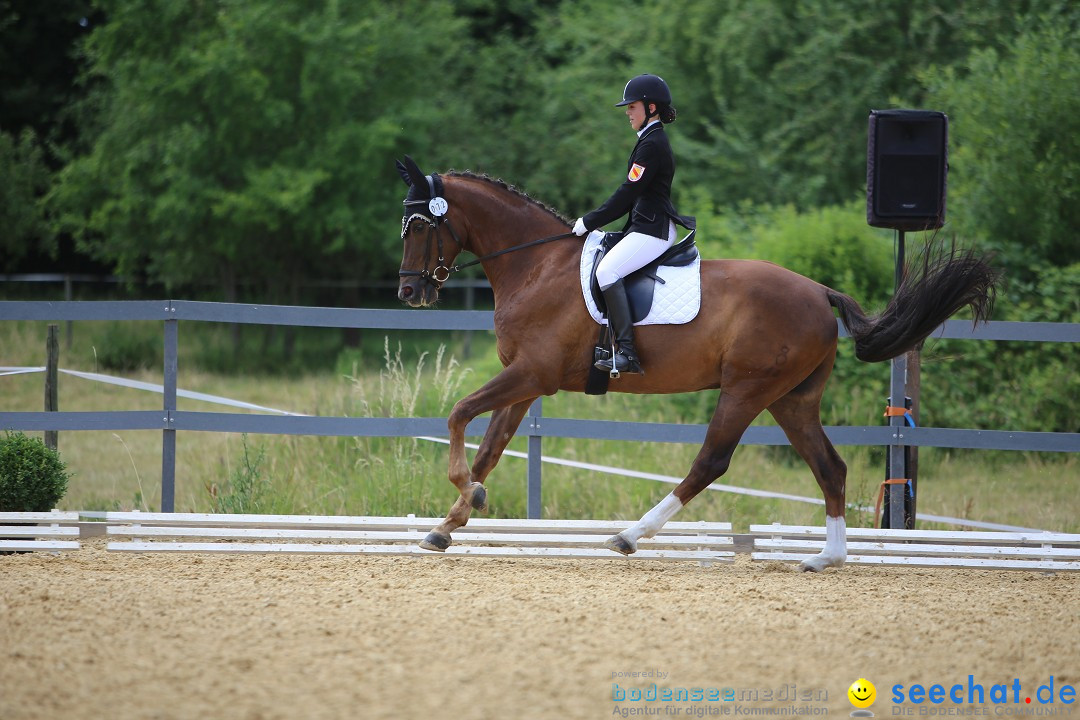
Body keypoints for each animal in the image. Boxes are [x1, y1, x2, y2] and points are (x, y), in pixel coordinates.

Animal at [395, 155, 993, 569]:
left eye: (420, 227)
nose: (408, 292)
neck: (535, 264)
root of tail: (820, 292)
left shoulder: (531, 374)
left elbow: (458, 414)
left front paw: (465, 494)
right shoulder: (528, 382)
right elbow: (491, 447)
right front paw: (451, 520)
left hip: (747, 389)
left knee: (712, 462)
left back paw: (629, 536)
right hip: (792, 399)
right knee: (830, 467)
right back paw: (827, 558)